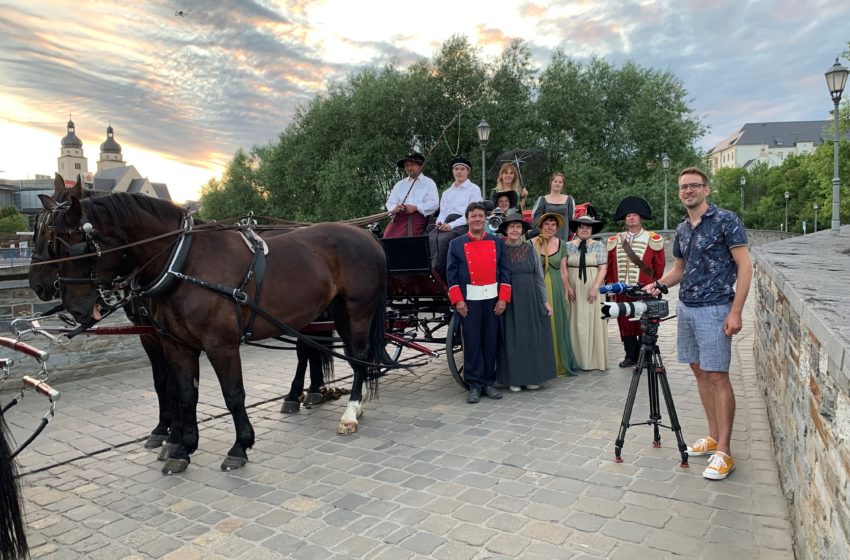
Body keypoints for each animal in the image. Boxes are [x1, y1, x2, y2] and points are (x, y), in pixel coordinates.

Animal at [36, 191, 388, 472]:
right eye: (52, 245)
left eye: (76, 248)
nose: (75, 307)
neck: (184, 263)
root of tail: (366, 234)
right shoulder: (177, 344)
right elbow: (183, 392)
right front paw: (181, 447)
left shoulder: (221, 344)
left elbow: (232, 394)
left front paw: (240, 445)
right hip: (336, 311)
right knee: (343, 354)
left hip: (358, 308)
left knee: (357, 356)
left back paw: (350, 411)